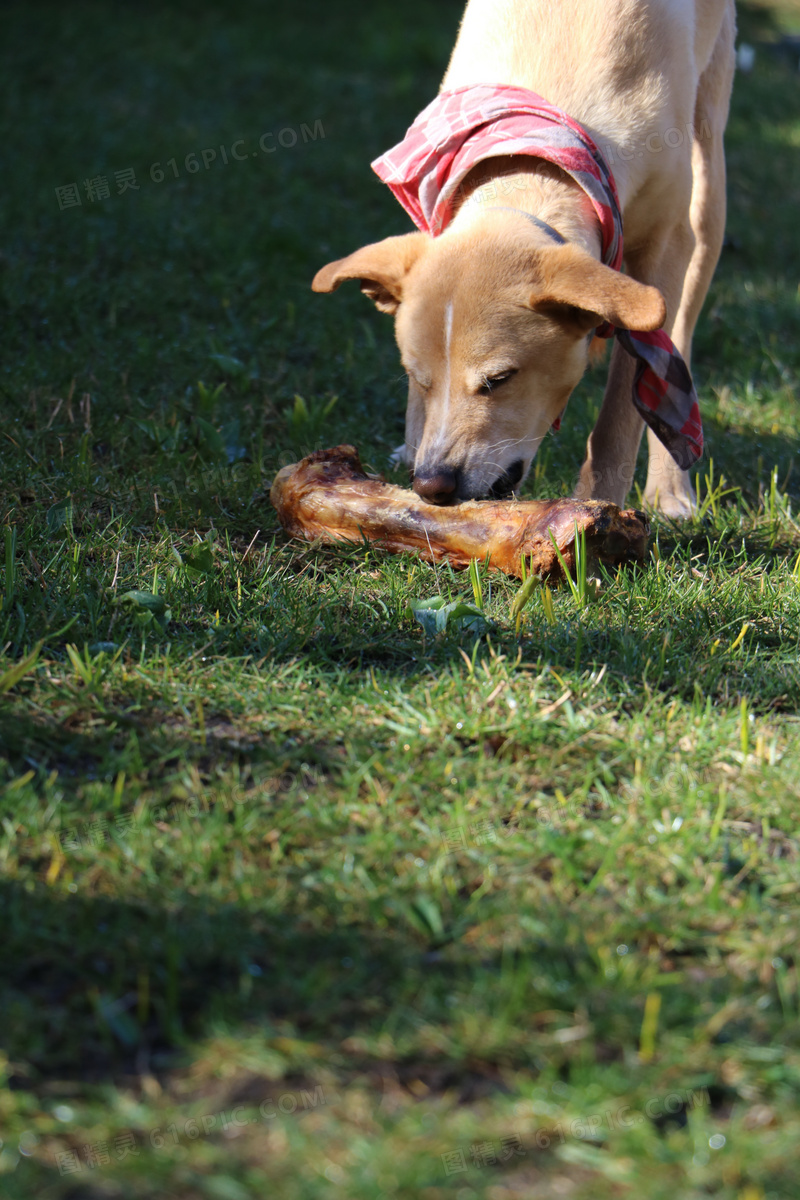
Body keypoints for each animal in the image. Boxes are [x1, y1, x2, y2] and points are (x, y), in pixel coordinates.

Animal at [309, 0, 734, 516]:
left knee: (679, 343)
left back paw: (670, 489)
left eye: (500, 379)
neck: (537, 165)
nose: (431, 485)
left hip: (706, 193)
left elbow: (620, 414)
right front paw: (410, 446)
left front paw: (598, 509)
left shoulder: (664, 247)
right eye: (415, 376)